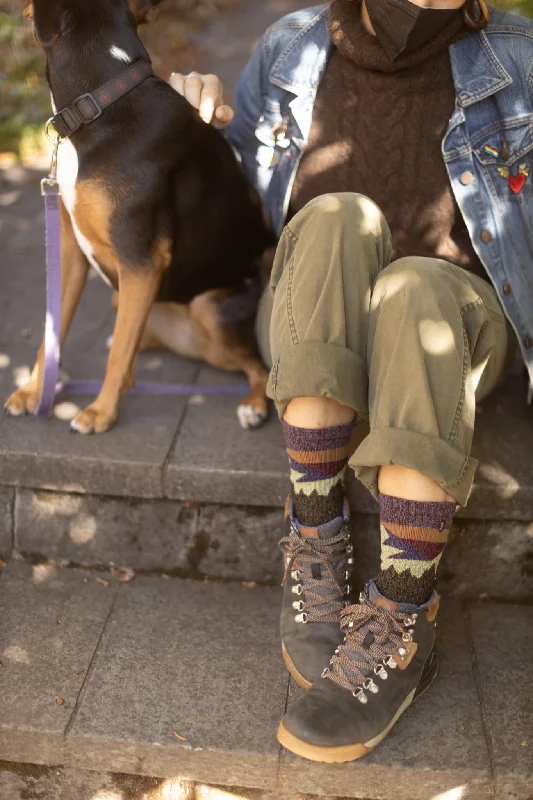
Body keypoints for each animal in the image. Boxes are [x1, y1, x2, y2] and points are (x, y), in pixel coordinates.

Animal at [6, 0, 274, 434]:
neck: (100, 102)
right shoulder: (70, 252)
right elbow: (52, 330)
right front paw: (34, 391)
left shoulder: (141, 260)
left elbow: (116, 358)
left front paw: (100, 412)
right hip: (128, 297)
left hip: (208, 306)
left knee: (261, 371)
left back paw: (253, 406)